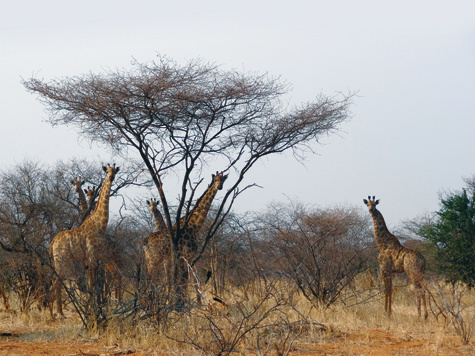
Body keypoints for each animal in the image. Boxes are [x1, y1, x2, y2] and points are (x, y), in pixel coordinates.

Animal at [50, 163, 120, 316]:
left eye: (115, 171)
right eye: (107, 171)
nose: (111, 177)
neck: (100, 225)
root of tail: (52, 243)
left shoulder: (96, 258)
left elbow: (93, 284)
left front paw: (96, 308)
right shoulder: (92, 257)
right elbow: (92, 284)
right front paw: (94, 309)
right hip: (62, 260)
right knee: (57, 281)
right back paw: (59, 313)